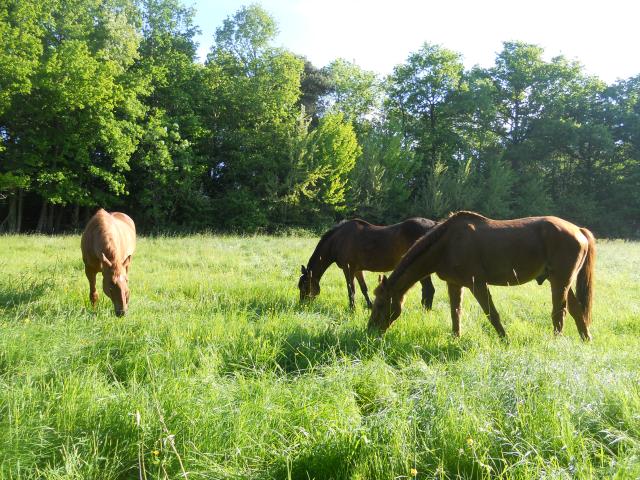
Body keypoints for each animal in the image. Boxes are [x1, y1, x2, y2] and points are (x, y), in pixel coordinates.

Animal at [298, 218, 438, 310]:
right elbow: (363, 288)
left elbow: (351, 289)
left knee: (429, 290)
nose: (301, 305)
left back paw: (425, 312)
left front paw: (352, 309)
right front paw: (370, 306)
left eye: (305, 286)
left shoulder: (348, 268)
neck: (338, 240)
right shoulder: (357, 270)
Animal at [368, 211, 596, 342]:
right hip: (562, 282)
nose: (370, 331)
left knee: (560, 313)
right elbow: (455, 313)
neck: (448, 243)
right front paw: (455, 338)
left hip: (559, 282)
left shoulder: (477, 284)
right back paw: (586, 339)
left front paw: (505, 340)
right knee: (577, 311)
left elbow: (491, 314)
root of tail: (579, 230)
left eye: (380, 304)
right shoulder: (454, 284)